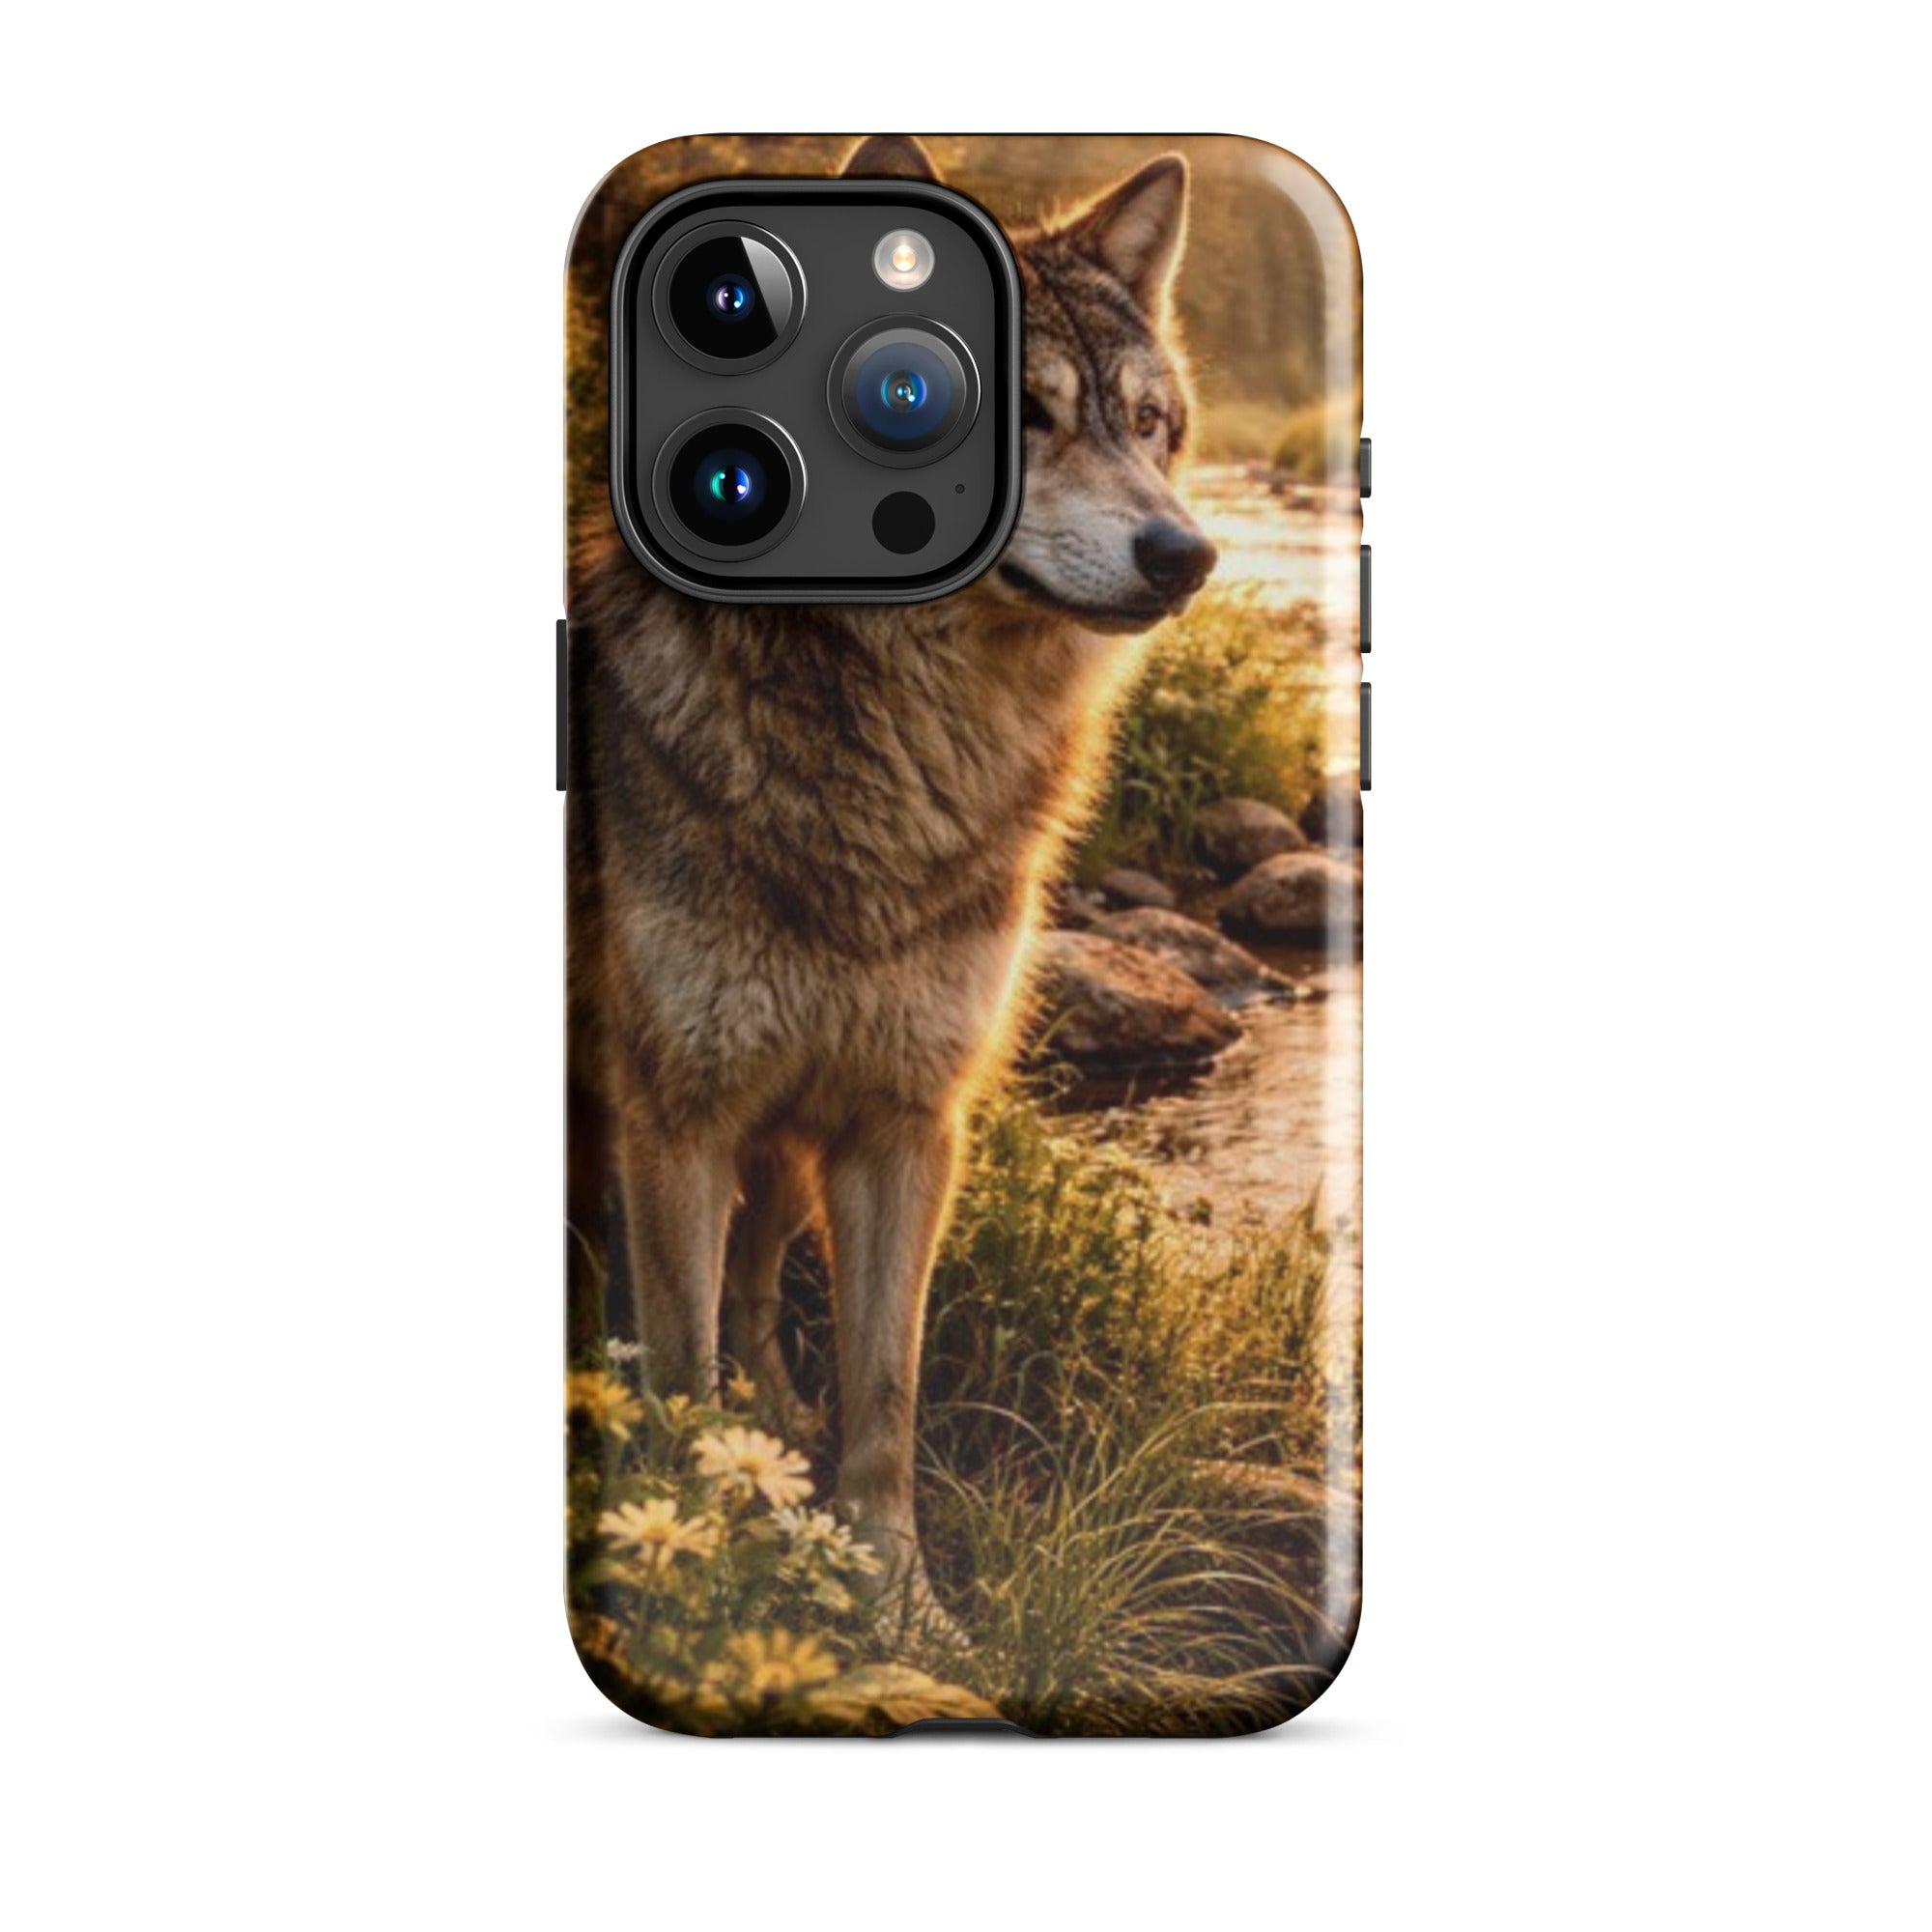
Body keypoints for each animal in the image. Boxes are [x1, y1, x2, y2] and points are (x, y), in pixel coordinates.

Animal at [567, 134, 1218, 1616]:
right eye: (1012, 412)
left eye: (1148, 424)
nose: (1186, 553)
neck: (901, 778)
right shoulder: (675, 1116)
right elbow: (678, 1371)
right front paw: (692, 1575)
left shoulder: (906, 1121)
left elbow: (885, 1397)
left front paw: (900, 1604)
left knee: (761, 1303)